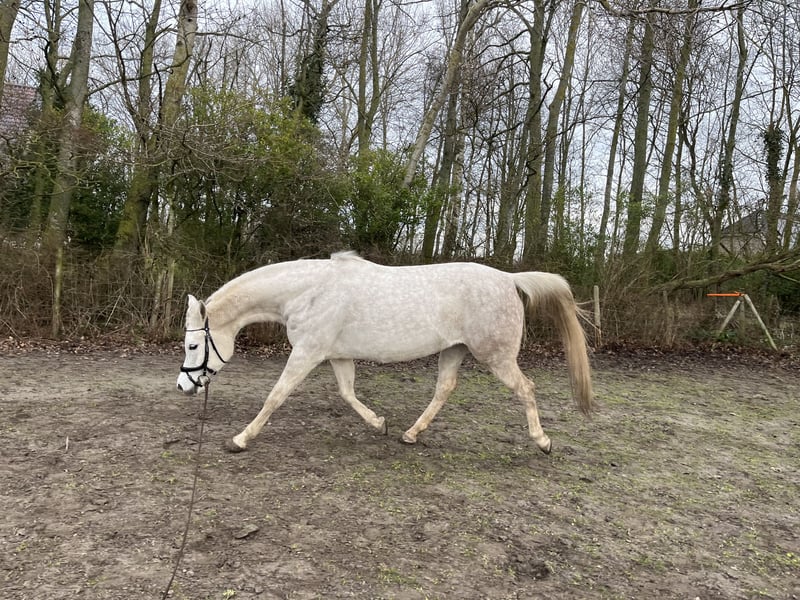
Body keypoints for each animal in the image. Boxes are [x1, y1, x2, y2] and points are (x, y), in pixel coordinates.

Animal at [176, 251, 593, 454]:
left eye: (193, 344)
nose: (183, 386)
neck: (308, 292)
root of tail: (509, 279)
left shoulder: (308, 352)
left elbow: (275, 397)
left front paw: (239, 440)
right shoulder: (336, 354)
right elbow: (347, 393)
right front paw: (379, 424)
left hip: (497, 356)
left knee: (526, 389)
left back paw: (543, 442)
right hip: (454, 350)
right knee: (444, 389)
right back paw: (410, 434)